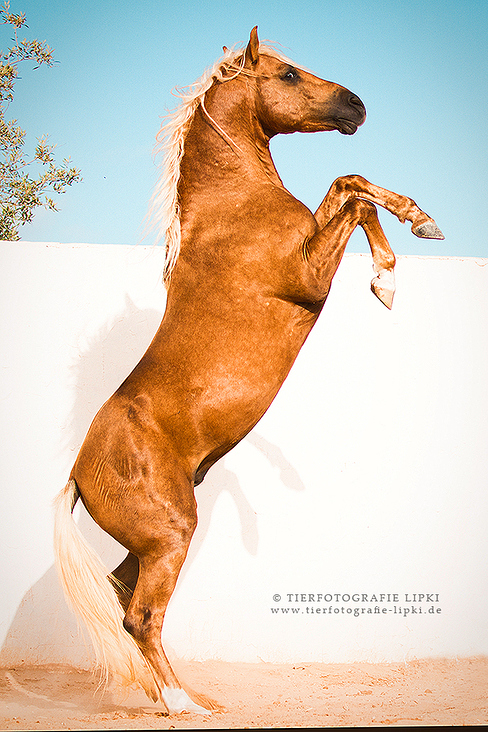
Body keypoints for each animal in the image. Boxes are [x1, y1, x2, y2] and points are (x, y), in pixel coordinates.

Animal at [52, 28, 442, 716]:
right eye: (286, 75)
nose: (357, 105)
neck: (235, 206)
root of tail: (78, 472)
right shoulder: (309, 273)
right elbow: (352, 194)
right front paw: (387, 277)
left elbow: (351, 182)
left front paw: (416, 226)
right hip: (172, 536)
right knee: (141, 616)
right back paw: (182, 704)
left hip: (151, 545)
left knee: (122, 595)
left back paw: (173, 696)